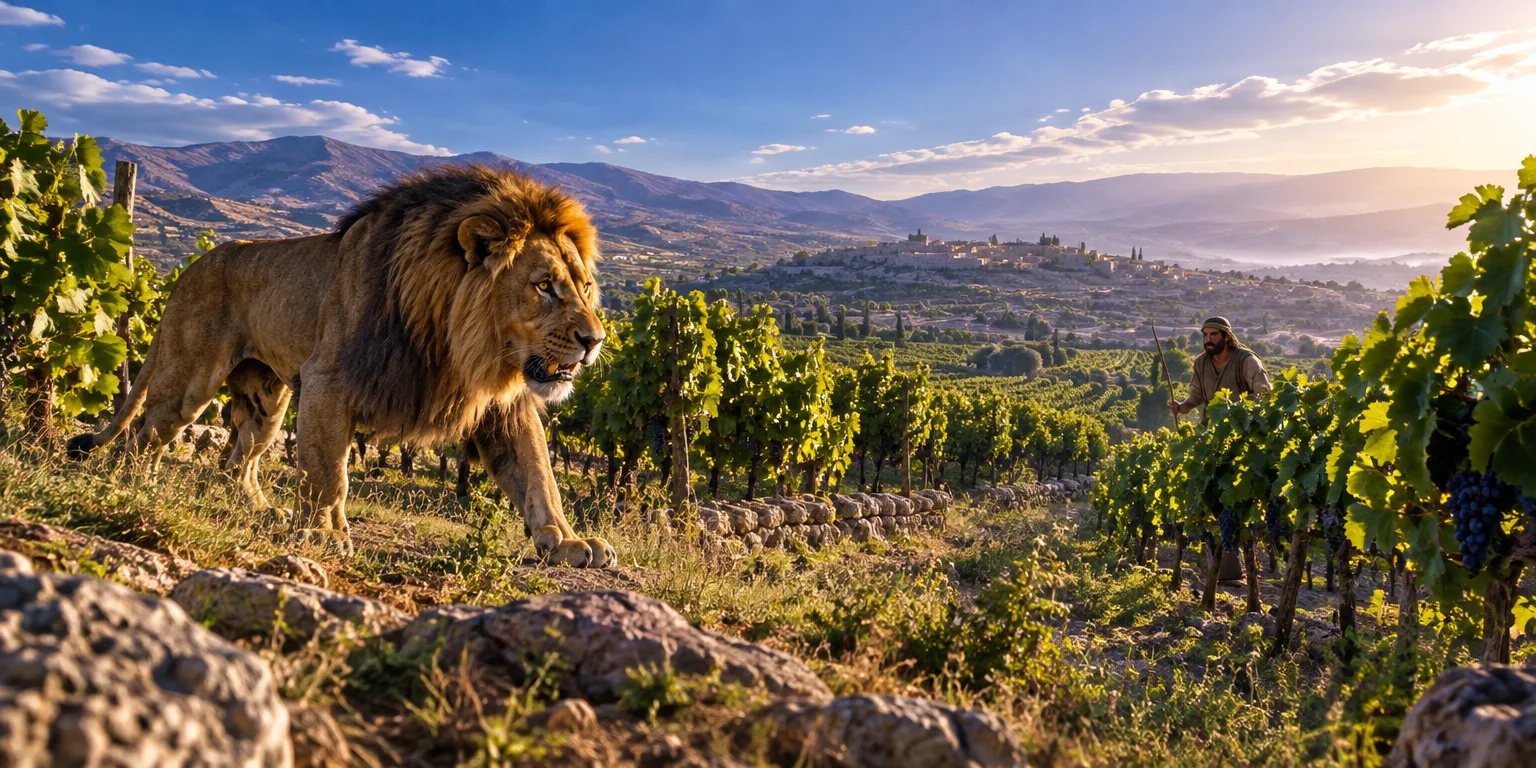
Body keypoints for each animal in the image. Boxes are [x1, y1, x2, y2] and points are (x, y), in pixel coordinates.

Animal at [68, 164, 614, 567]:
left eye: (586, 287)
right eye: (543, 286)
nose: (595, 341)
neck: (457, 342)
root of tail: (191, 268)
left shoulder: (506, 399)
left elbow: (538, 471)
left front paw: (565, 540)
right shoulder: (329, 380)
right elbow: (330, 470)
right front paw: (325, 535)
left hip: (269, 403)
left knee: (238, 461)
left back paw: (262, 510)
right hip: (190, 382)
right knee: (145, 435)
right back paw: (137, 486)